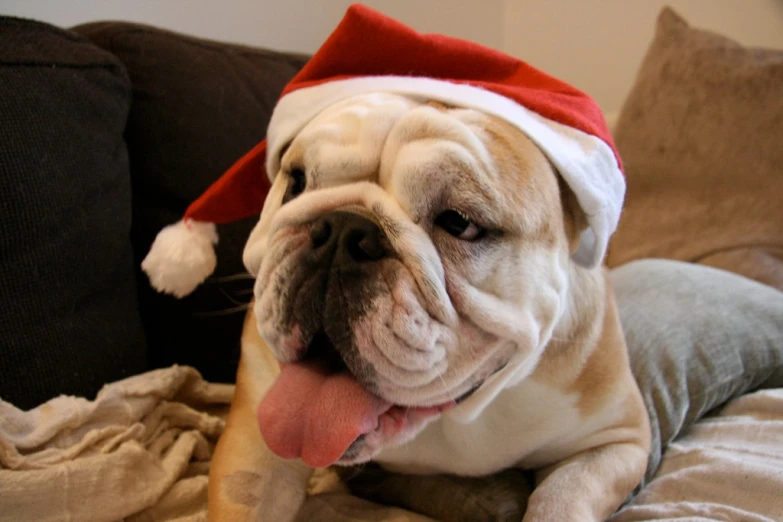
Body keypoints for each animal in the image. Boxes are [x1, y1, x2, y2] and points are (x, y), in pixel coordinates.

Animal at [207, 93, 648, 520]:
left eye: (460, 223)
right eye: (296, 181)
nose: (343, 229)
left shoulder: (615, 442)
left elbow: (561, 499)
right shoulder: (256, 445)